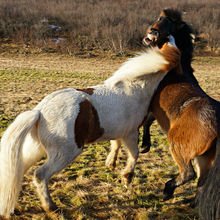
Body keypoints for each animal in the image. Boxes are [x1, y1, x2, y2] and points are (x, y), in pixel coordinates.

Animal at [0, 36, 180, 217]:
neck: (134, 89)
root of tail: (39, 111)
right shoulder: (130, 133)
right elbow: (134, 154)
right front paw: (127, 177)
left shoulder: (118, 131)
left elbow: (115, 145)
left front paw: (111, 164)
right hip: (65, 153)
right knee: (40, 175)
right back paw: (51, 207)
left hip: (36, 149)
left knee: (19, 170)